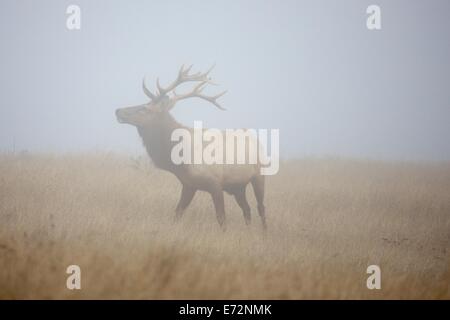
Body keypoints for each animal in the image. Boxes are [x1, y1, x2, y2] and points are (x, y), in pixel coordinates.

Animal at [114, 64, 266, 230]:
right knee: (247, 209)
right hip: (238, 187)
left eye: (145, 109)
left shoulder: (215, 184)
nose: (118, 110)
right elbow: (177, 213)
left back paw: (264, 232)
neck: (181, 160)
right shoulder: (188, 185)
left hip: (259, 176)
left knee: (260, 208)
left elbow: (221, 218)